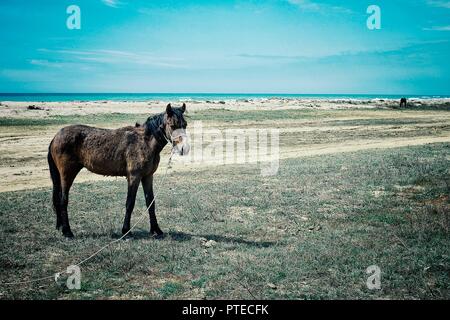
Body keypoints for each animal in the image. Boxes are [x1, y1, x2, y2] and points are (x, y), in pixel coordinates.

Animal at [45, 102, 186, 238]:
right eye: (172, 125)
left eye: (185, 125)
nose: (183, 149)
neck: (144, 142)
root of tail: (55, 137)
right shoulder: (134, 177)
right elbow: (130, 203)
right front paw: (126, 231)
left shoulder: (147, 176)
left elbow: (150, 202)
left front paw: (156, 230)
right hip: (67, 174)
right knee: (63, 200)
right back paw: (67, 231)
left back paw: (61, 228)